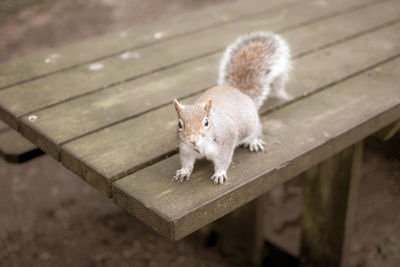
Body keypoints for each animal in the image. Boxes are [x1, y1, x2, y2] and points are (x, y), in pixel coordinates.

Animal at [172, 31, 290, 185]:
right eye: (179, 124)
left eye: (206, 122)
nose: (193, 139)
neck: (201, 146)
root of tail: (240, 93)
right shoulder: (185, 148)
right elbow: (186, 162)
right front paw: (184, 171)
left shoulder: (225, 143)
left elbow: (223, 160)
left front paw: (220, 173)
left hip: (251, 125)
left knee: (256, 130)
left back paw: (254, 141)